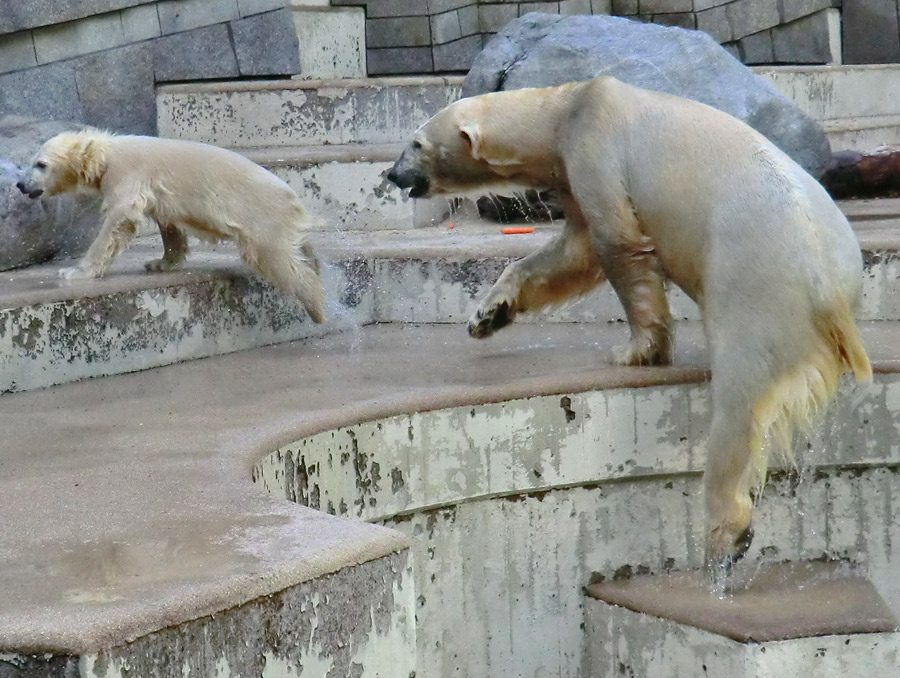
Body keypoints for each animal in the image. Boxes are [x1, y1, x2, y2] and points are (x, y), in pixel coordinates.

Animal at [17, 133, 326, 326]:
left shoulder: (128, 174)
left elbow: (120, 217)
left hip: (261, 217)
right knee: (298, 249)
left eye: (40, 164)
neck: (105, 154)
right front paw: (160, 263)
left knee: (276, 259)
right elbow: (169, 223)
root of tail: (296, 203)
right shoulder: (158, 191)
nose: (20, 184)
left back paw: (315, 306)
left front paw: (74, 272)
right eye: (31, 161)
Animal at [386, 77, 872, 576]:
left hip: (757, 287)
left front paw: (637, 351)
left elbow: (615, 244)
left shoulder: (595, 149)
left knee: (740, 402)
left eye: (416, 142)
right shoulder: (571, 168)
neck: (568, 108)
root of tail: (829, 290)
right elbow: (573, 253)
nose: (391, 174)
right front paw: (487, 314)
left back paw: (727, 536)